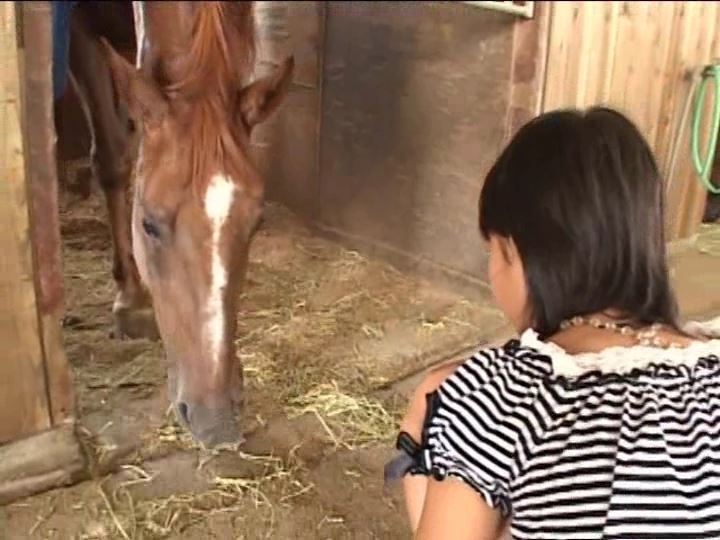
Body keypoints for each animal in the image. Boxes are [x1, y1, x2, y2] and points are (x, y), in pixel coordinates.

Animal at [54, 1, 294, 448]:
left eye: (257, 222)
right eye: (148, 224)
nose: (216, 420)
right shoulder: (80, 31)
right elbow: (112, 158)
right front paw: (130, 301)